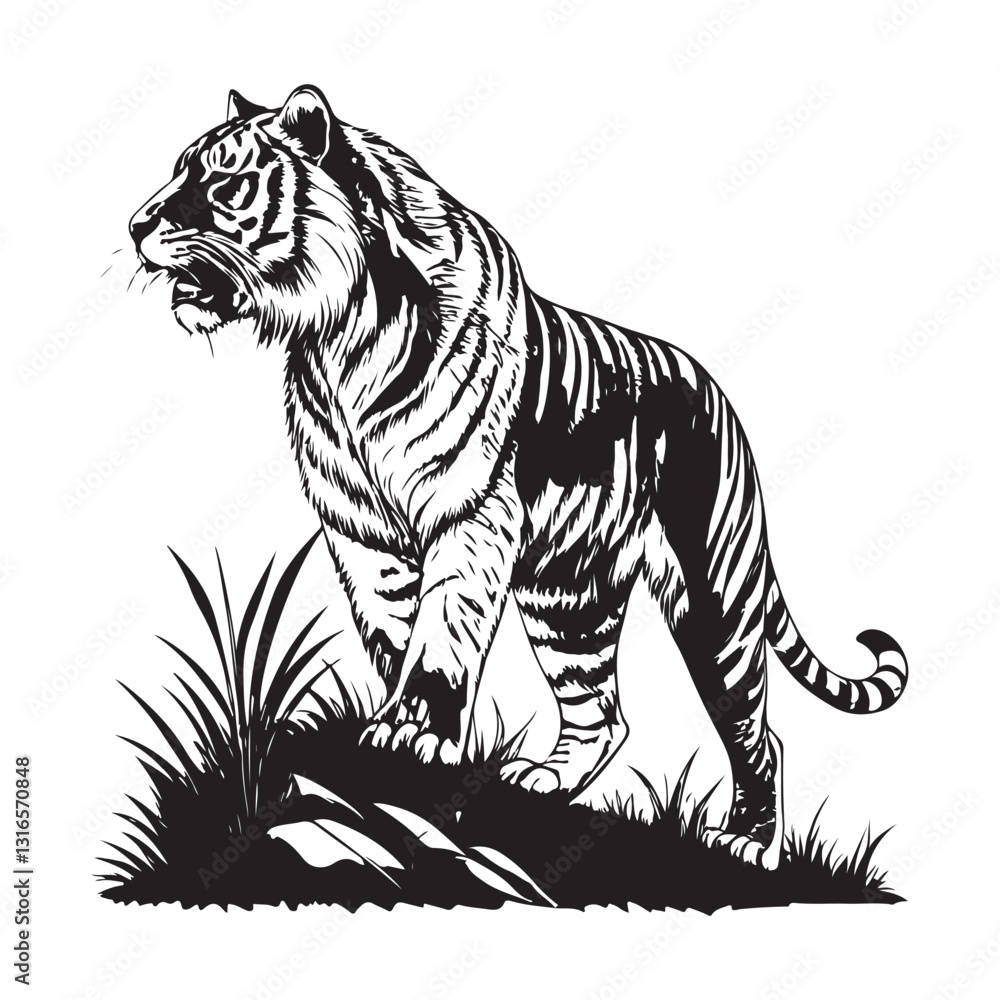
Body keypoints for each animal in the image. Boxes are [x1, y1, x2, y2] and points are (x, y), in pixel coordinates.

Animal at [129, 85, 908, 868]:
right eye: (176, 170)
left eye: (222, 184)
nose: (135, 226)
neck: (341, 339)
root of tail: (722, 400)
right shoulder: (361, 533)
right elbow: (391, 632)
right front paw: (392, 743)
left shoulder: (467, 516)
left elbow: (441, 636)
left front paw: (414, 732)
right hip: (569, 601)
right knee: (603, 713)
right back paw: (543, 782)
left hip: (712, 595)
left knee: (756, 731)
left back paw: (746, 841)